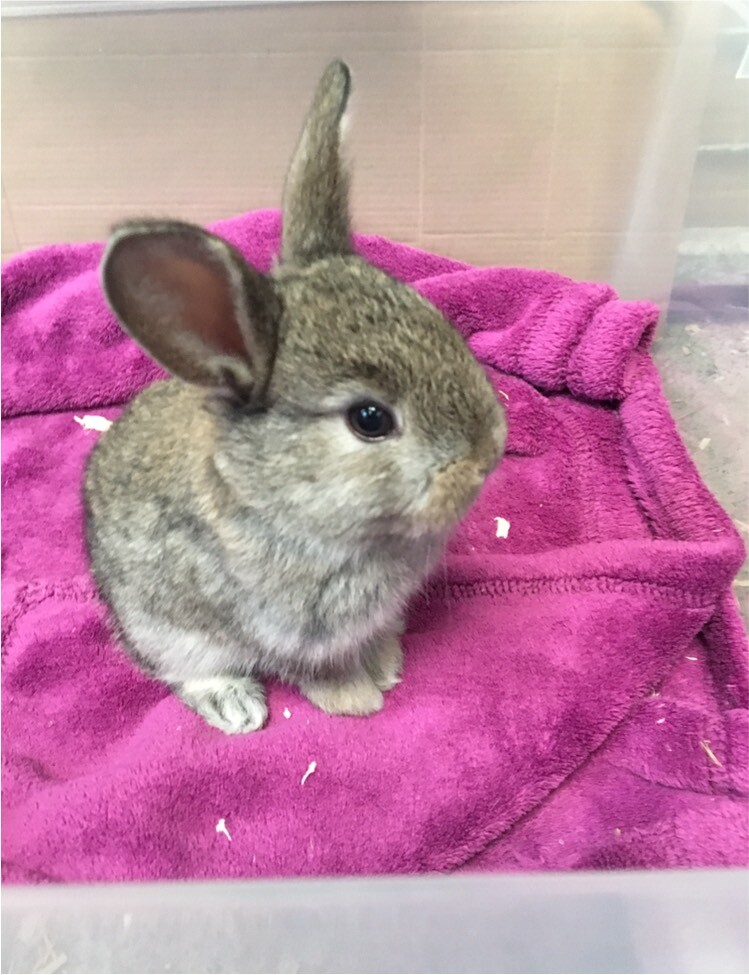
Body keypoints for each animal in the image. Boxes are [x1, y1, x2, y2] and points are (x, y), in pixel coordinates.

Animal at [84, 60, 507, 734]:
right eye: (369, 419)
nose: (488, 455)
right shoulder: (289, 630)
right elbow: (317, 670)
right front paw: (357, 700)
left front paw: (386, 663)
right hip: (162, 628)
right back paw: (235, 707)